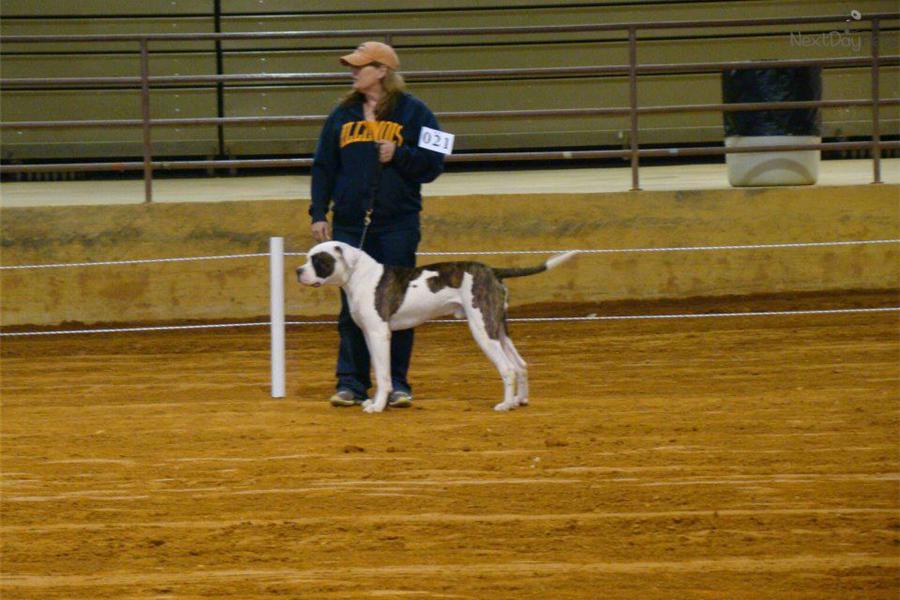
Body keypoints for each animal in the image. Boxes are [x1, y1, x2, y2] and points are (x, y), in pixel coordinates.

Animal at [296, 241, 576, 414]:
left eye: (319, 260)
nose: (298, 270)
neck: (360, 277)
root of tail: (492, 271)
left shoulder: (379, 334)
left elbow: (384, 375)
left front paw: (377, 406)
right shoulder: (369, 335)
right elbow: (378, 369)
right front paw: (375, 401)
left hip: (482, 327)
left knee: (507, 368)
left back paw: (505, 405)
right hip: (497, 327)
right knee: (520, 364)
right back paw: (520, 400)